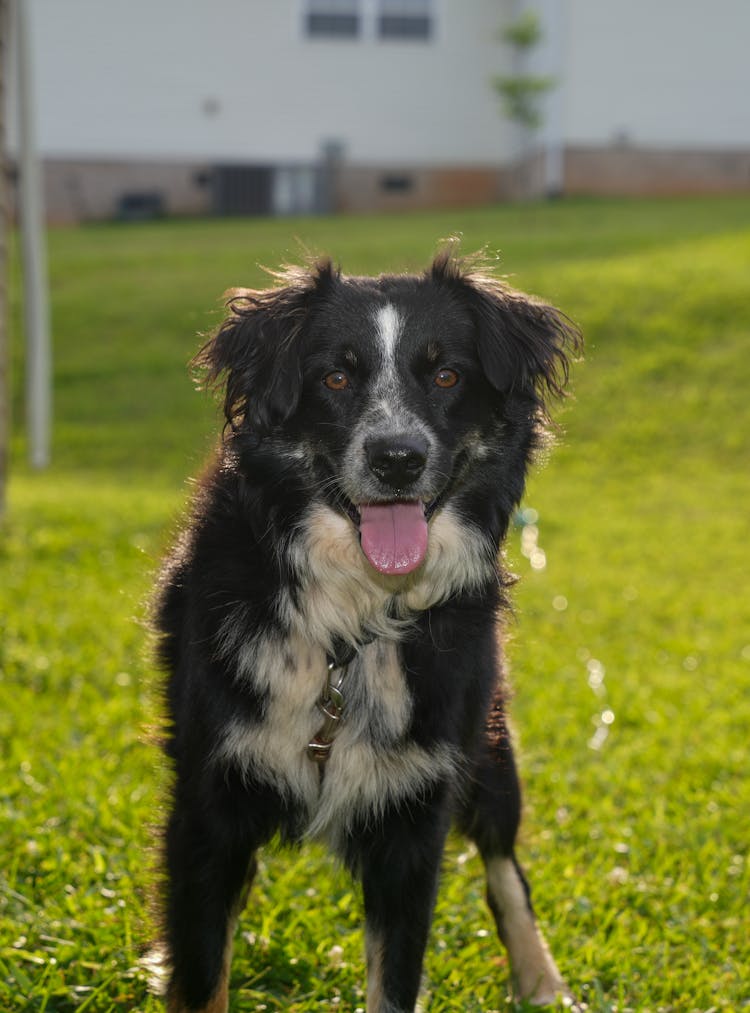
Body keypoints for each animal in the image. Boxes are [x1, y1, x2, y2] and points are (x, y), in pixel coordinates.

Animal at [152, 247, 583, 1013]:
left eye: (446, 375)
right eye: (336, 377)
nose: (397, 458)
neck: (351, 624)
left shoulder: (415, 814)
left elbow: (395, 977)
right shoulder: (208, 803)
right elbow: (203, 972)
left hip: (488, 745)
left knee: (504, 862)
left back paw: (541, 979)